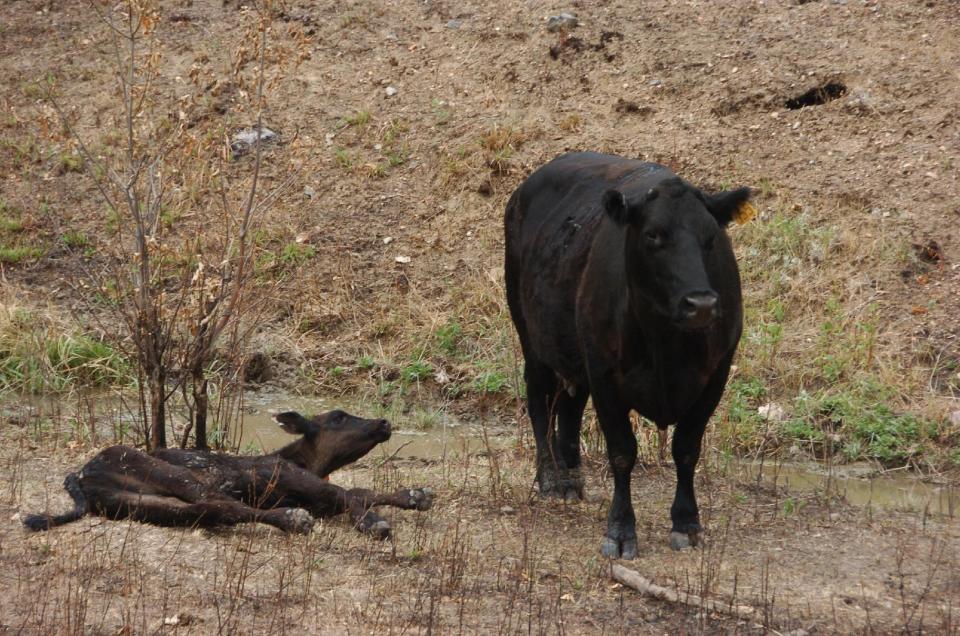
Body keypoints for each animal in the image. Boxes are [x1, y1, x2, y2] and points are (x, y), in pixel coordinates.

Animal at [20, 412, 434, 536]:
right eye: (337, 417)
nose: (383, 422)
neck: (305, 461)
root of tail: (80, 475)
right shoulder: (287, 477)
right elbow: (350, 494)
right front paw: (375, 522)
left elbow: (361, 491)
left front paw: (415, 495)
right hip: (175, 477)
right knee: (222, 504)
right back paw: (292, 518)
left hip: (145, 503)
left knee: (213, 510)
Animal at [502, 152, 752, 560]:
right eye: (653, 235)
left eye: (711, 237)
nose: (701, 304)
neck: (666, 345)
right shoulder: (605, 375)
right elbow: (622, 451)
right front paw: (620, 530)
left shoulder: (715, 374)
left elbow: (687, 449)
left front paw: (687, 522)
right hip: (531, 334)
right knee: (541, 402)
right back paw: (552, 477)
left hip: (574, 351)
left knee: (569, 407)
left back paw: (573, 478)